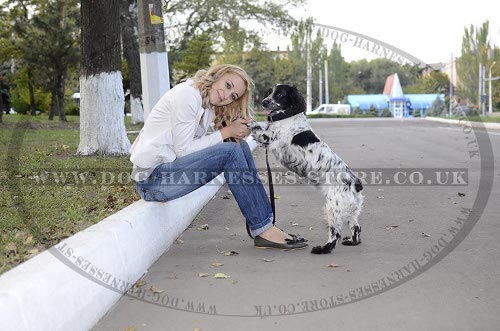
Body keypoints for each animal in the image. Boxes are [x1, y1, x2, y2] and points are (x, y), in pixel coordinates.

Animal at [249, 84, 364, 255]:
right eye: (269, 92)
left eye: (280, 94)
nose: (264, 102)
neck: (286, 117)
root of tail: (355, 184)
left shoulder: (270, 138)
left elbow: (256, 127)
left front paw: (246, 122)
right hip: (348, 208)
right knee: (356, 227)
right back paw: (351, 241)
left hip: (333, 207)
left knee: (335, 233)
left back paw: (323, 249)